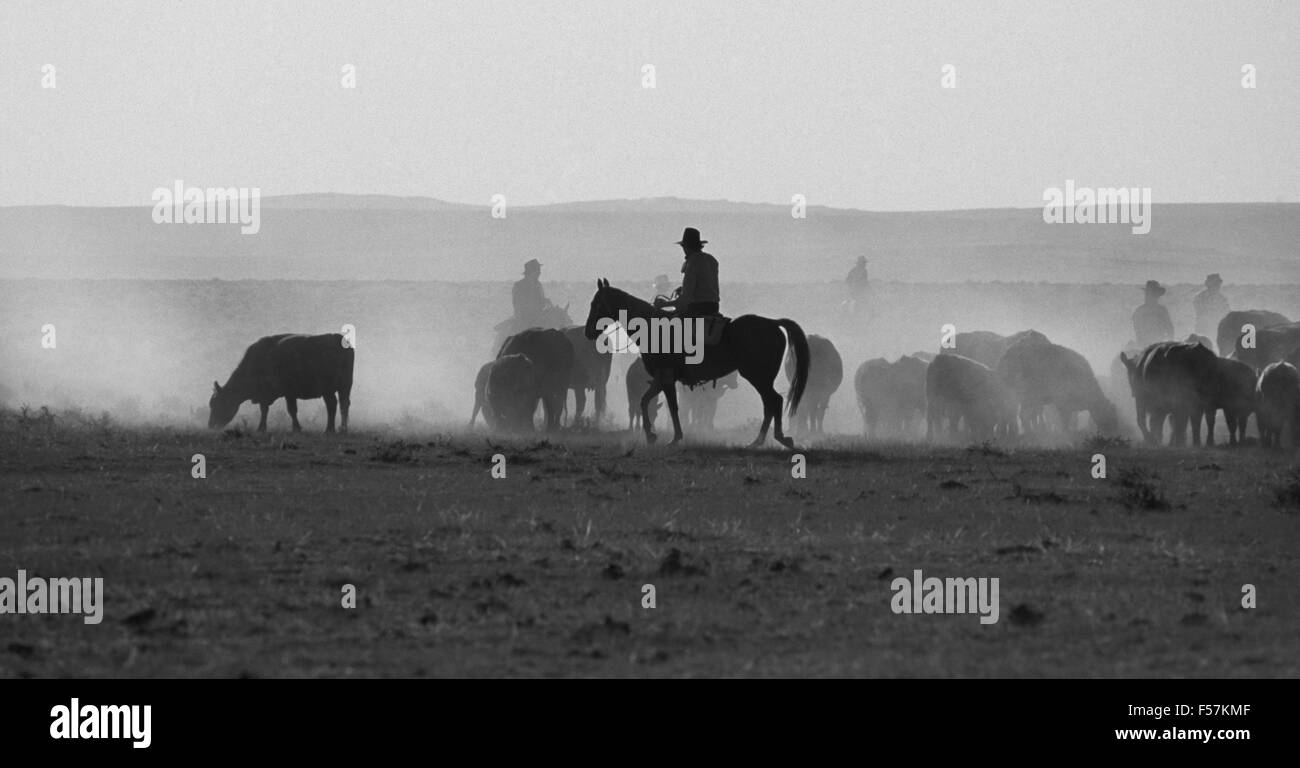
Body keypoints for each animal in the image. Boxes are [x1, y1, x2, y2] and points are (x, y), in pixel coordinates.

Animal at [208, 332, 353, 436]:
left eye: (216, 404)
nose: (211, 425)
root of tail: (337, 338)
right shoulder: (286, 394)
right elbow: (287, 410)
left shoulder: (279, 394)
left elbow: (275, 410)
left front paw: (262, 429)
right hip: (343, 388)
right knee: (342, 405)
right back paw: (341, 429)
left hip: (329, 389)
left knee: (333, 405)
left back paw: (330, 430)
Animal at [585, 278, 806, 447]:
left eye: (596, 304)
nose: (588, 331)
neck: (653, 328)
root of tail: (774, 323)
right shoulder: (660, 379)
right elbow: (645, 401)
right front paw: (651, 435)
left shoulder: (666, 378)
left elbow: (672, 407)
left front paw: (673, 438)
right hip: (762, 378)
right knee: (771, 402)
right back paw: (764, 440)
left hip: (757, 376)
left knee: (773, 401)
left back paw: (770, 439)